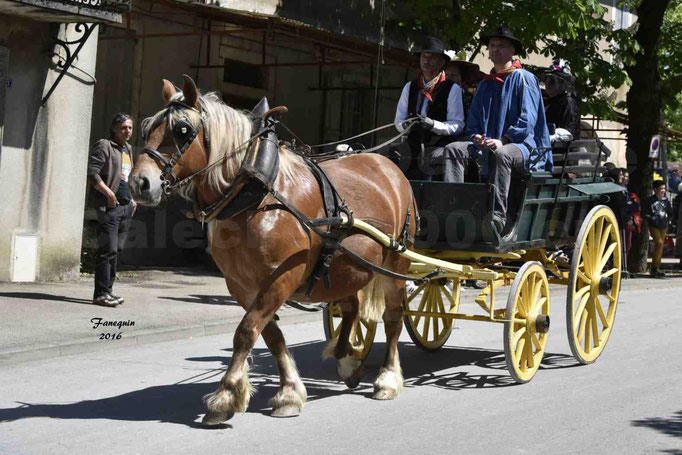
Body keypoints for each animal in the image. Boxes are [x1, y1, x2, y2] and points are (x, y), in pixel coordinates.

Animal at [129, 75, 414, 428]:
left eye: (182, 130)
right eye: (147, 128)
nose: (139, 183)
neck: (256, 194)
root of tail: (388, 164)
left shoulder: (282, 277)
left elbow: (246, 331)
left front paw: (225, 396)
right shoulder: (241, 285)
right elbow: (270, 335)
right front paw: (289, 392)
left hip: (396, 261)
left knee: (392, 318)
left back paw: (387, 378)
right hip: (344, 265)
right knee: (352, 306)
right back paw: (346, 359)